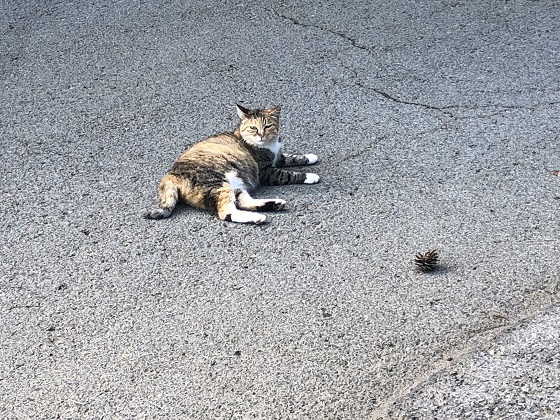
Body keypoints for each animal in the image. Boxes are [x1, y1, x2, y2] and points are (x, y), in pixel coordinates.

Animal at [144, 104, 320, 225]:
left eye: (267, 126)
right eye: (253, 128)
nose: (261, 135)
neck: (268, 145)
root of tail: (171, 175)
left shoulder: (278, 158)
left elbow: (292, 157)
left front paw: (311, 157)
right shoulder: (267, 172)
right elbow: (289, 174)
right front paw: (311, 175)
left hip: (236, 183)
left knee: (243, 202)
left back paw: (273, 204)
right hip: (217, 183)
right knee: (227, 212)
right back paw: (257, 217)